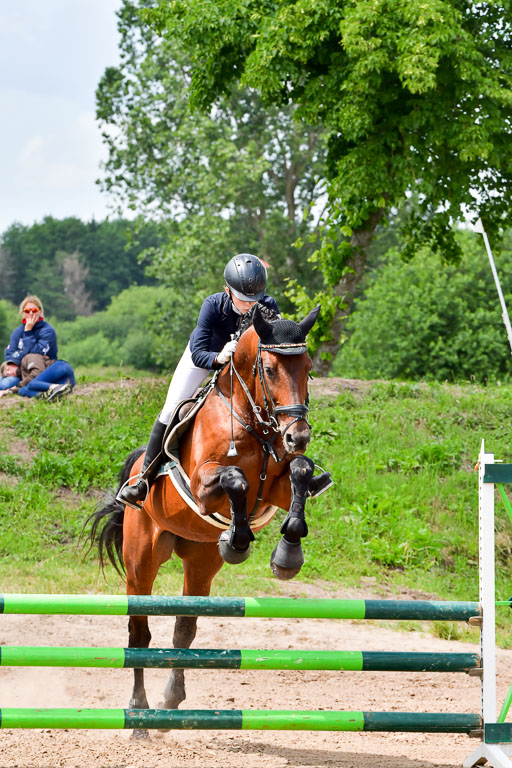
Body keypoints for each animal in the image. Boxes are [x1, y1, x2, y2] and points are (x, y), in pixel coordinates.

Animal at [87, 303, 324, 736]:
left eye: (308, 368)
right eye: (269, 369)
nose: (297, 436)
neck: (253, 420)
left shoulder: (277, 488)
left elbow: (300, 473)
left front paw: (287, 555)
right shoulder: (202, 485)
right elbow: (235, 480)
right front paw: (238, 540)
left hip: (199, 562)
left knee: (184, 631)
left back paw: (169, 703)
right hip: (140, 561)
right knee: (139, 634)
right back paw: (140, 715)